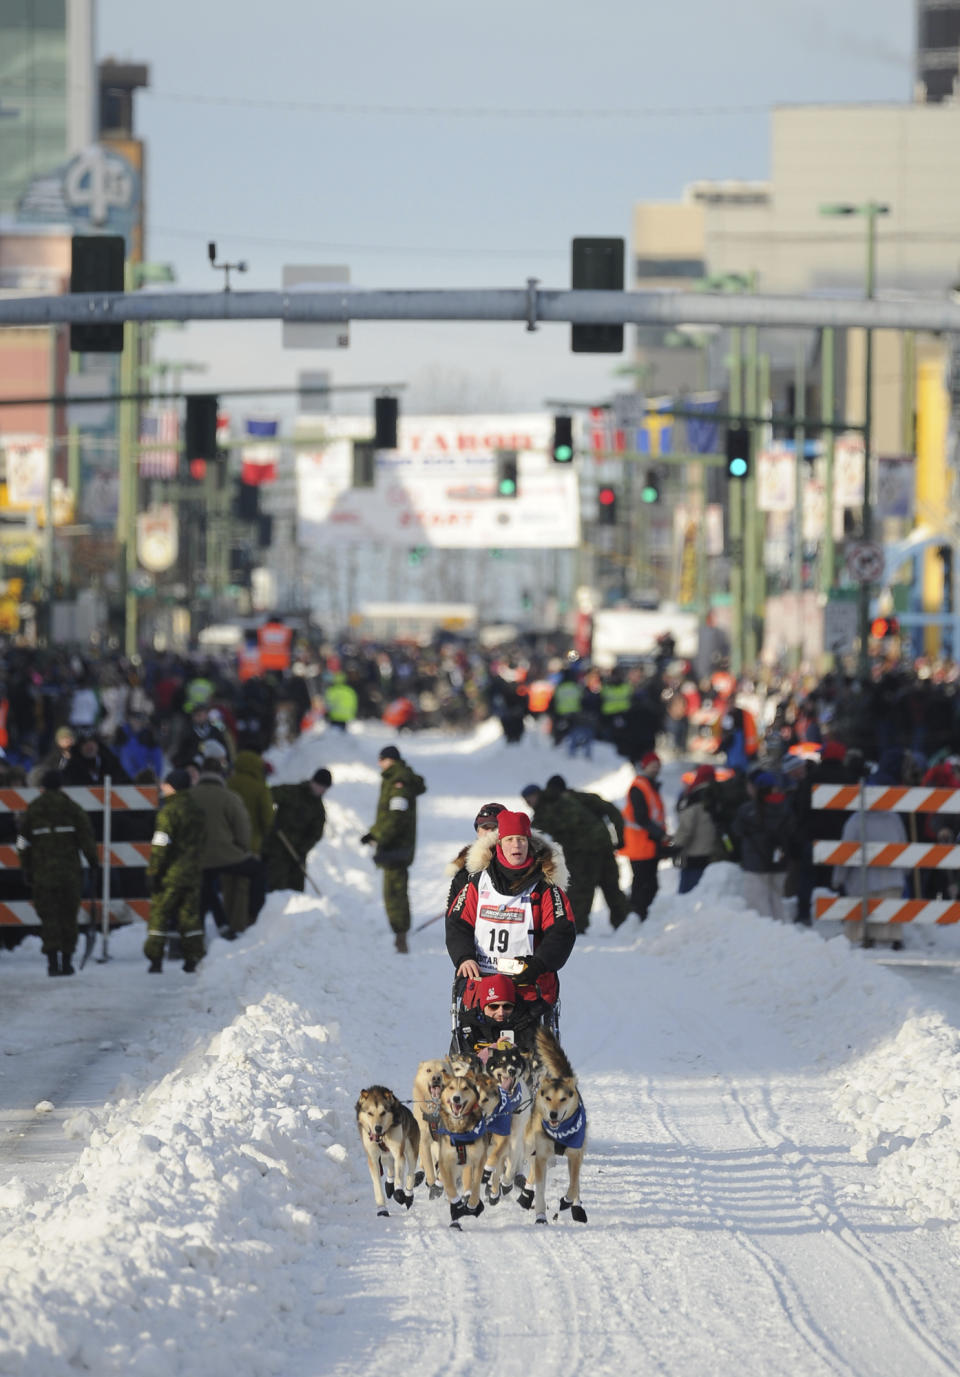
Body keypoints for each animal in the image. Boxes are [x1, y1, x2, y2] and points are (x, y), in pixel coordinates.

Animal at [355, 1085, 418, 1217]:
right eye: (370, 1113)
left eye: (383, 1112)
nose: (377, 1128)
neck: (382, 1137)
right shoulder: (373, 1159)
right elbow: (377, 1185)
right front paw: (382, 1208)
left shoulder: (398, 1153)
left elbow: (399, 1177)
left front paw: (399, 1193)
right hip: (385, 1156)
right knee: (390, 1167)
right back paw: (389, 1185)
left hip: (410, 1150)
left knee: (411, 1173)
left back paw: (408, 1195)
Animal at [517, 1035, 583, 1228]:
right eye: (548, 1098)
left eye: (563, 1098)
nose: (553, 1113)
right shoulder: (539, 1154)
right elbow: (538, 1186)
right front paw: (539, 1214)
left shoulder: (575, 1154)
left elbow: (574, 1183)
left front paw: (569, 1202)